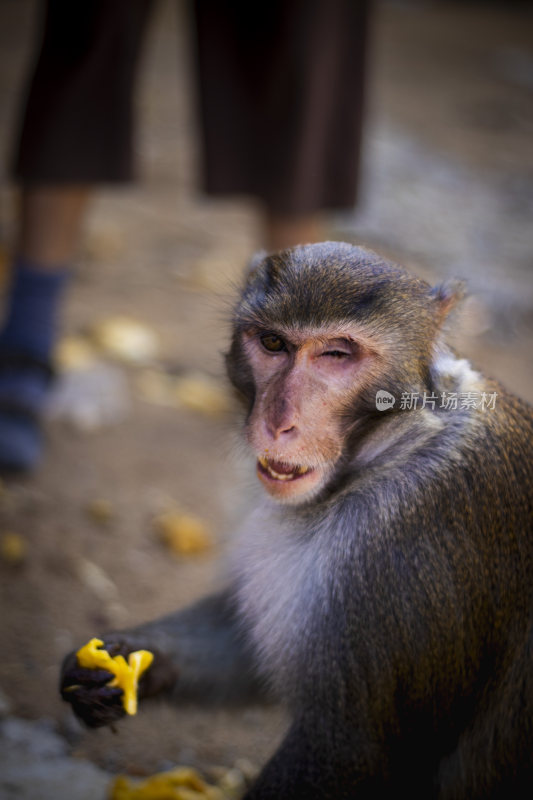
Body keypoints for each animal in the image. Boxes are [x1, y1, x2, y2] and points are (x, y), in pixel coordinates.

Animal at [60, 244, 528, 800]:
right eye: (273, 343)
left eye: (337, 355)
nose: (277, 422)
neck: (394, 449)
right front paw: (120, 662)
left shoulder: (407, 552)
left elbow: (354, 746)